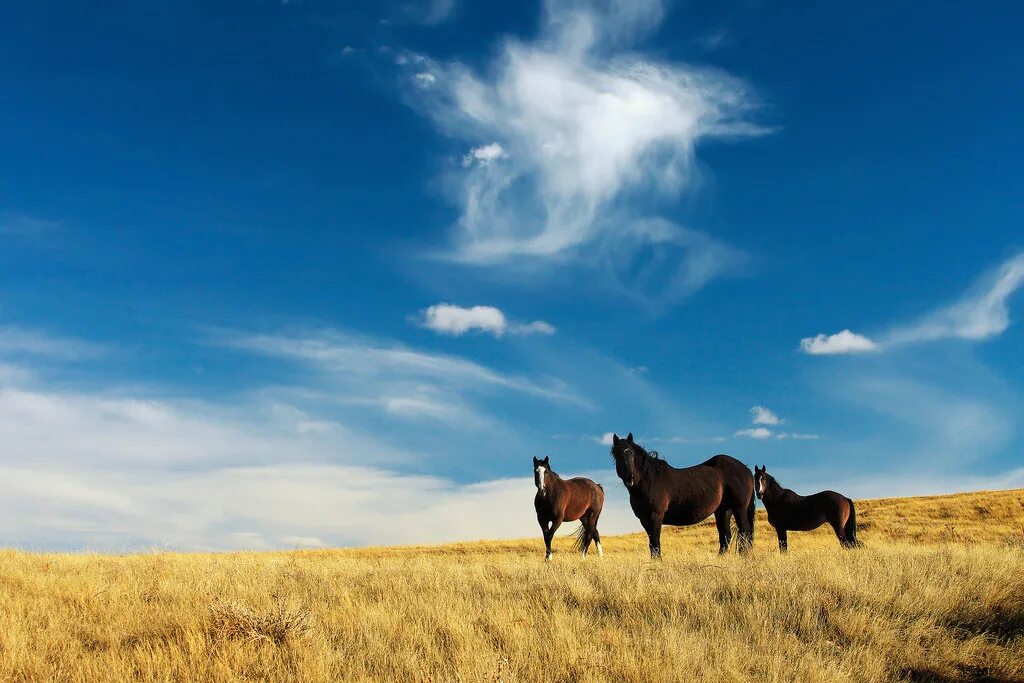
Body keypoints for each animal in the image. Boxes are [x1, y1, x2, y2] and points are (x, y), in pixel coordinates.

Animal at [606, 436, 753, 557]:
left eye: (631, 453)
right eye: (616, 454)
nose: (629, 478)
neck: (649, 481)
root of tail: (746, 469)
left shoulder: (655, 516)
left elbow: (656, 542)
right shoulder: (644, 519)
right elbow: (651, 544)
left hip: (739, 508)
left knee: (744, 532)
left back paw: (743, 556)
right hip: (723, 510)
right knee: (726, 536)